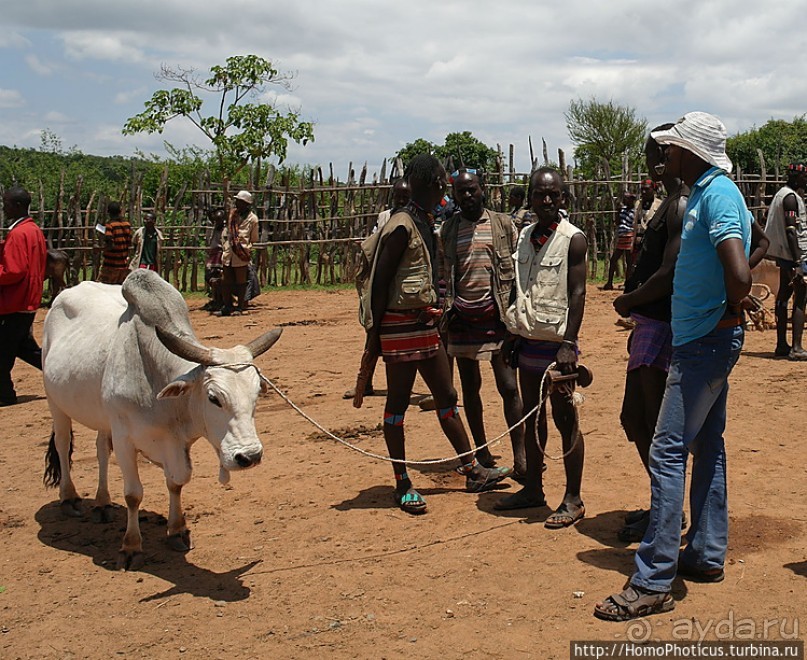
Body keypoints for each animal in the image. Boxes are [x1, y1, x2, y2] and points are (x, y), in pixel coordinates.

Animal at [41, 270, 280, 568]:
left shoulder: (175, 442)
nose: (249, 456)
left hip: (103, 419)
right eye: (213, 397)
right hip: (55, 402)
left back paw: (102, 503)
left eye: (257, 392)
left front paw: (176, 530)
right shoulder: (124, 438)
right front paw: (131, 545)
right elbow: (133, 494)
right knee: (62, 445)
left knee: (100, 451)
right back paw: (69, 498)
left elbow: (176, 483)